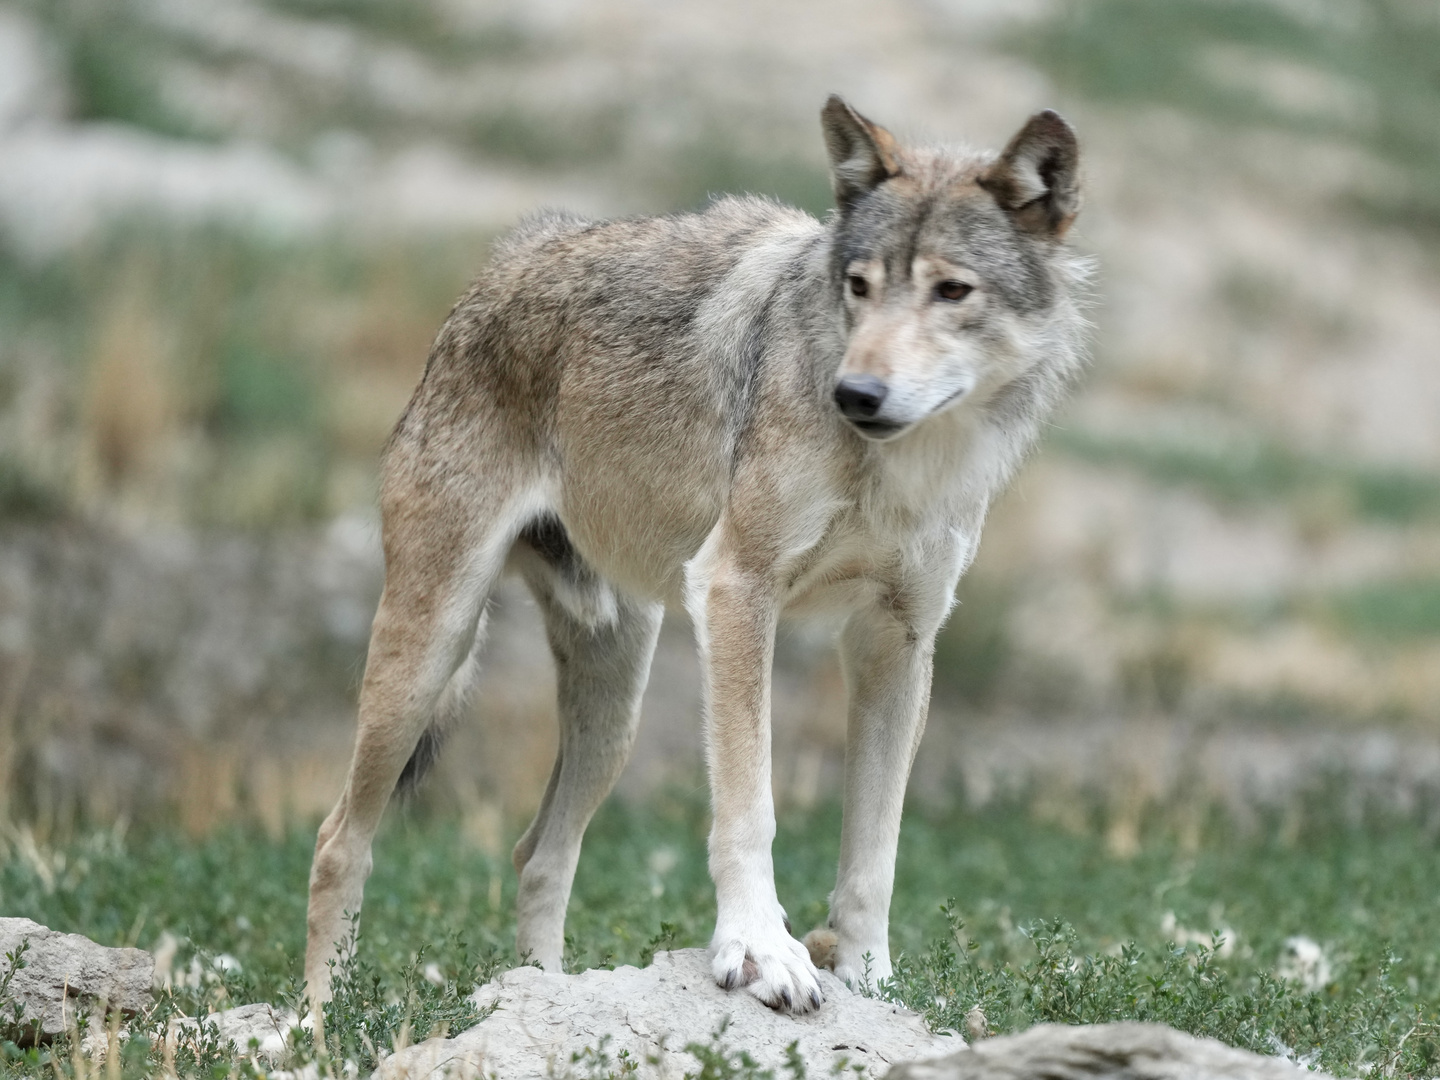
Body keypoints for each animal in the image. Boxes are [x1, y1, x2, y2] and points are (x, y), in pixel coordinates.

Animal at [306, 97, 1088, 1019]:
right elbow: (751, 807)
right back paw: (316, 1022)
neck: (900, 466)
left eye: (952, 290)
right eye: (858, 287)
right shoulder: (735, 591)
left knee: (540, 854)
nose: (855, 395)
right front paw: (762, 953)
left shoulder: (897, 641)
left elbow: (876, 851)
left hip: (616, 703)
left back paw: (539, 994)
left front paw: (870, 981)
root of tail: (511, 254)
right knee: (338, 839)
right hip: (433, 652)